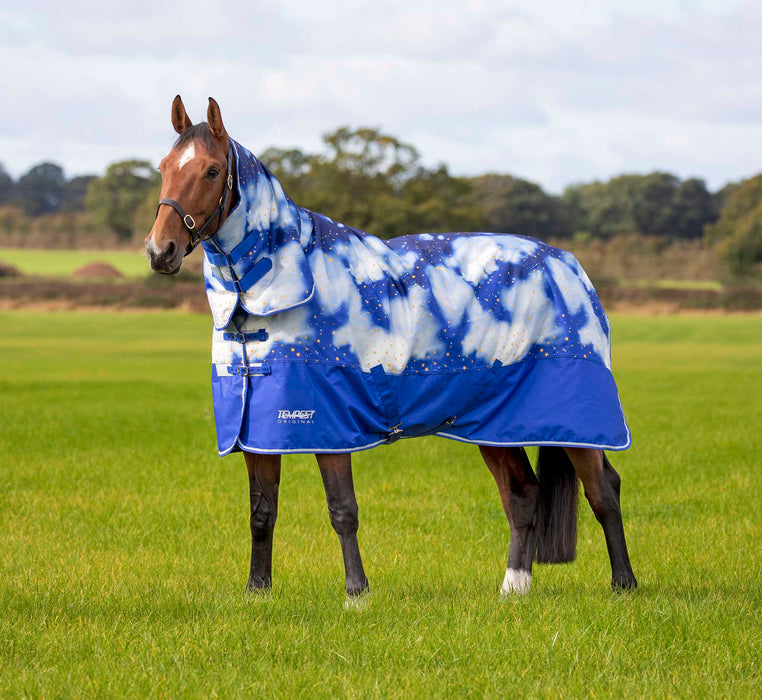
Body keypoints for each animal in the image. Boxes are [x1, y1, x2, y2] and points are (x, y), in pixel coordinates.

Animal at [145, 95, 637, 600]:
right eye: (164, 166)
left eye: (209, 170)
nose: (160, 250)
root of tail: (568, 265)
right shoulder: (258, 433)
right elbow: (262, 512)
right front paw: (257, 591)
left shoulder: (331, 425)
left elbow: (342, 509)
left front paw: (356, 593)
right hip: (496, 426)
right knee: (523, 496)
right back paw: (512, 589)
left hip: (575, 420)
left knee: (604, 490)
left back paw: (624, 584)